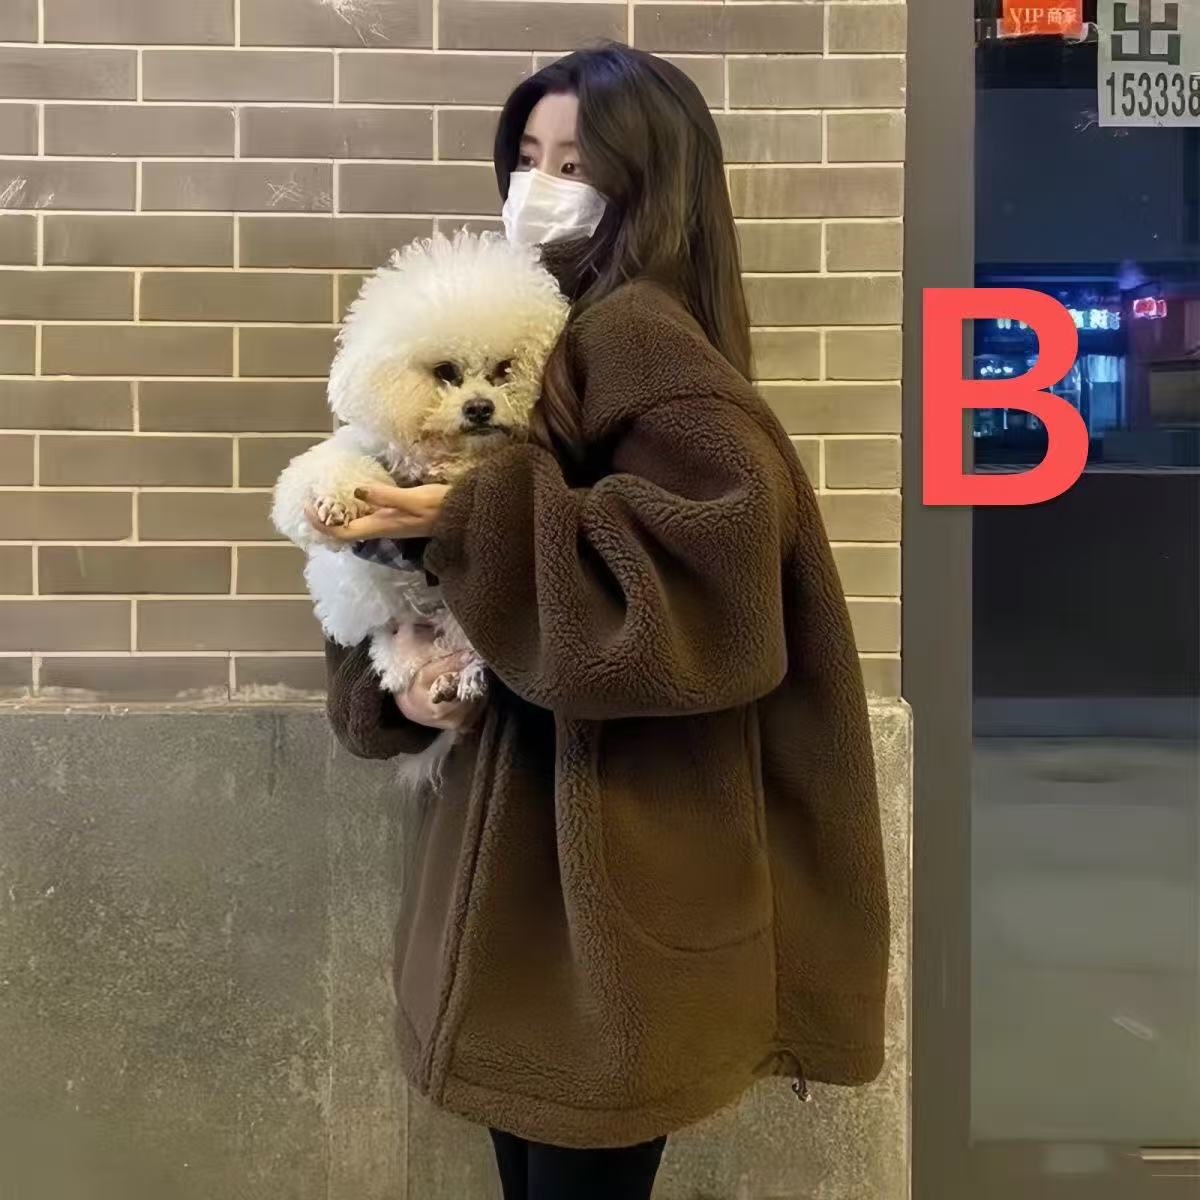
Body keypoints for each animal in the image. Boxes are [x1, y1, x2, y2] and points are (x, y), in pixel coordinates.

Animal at [271, 231, 568, 766]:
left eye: (504, 369)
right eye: (446, 371)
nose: (480, 408)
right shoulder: (352, 455)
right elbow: (322, 475)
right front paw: (337, 500)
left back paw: (463, 677)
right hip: (396, 641)